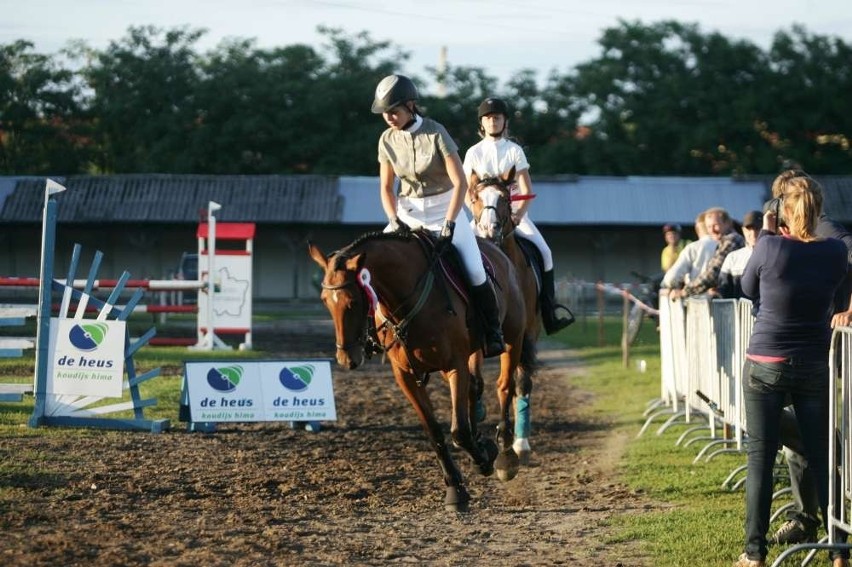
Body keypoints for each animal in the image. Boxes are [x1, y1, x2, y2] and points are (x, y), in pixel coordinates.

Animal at [306, 231, 532, 516]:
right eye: (325, 301)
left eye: (354, 301)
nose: (347, 359)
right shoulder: (405, 376)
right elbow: (435, 432)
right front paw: (457, 487)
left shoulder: (455, 364)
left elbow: (458, 431)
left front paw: (478, 466)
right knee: (474, 388)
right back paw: (484, 447)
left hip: (512, 338)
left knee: (504, 386)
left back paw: (505, 456)